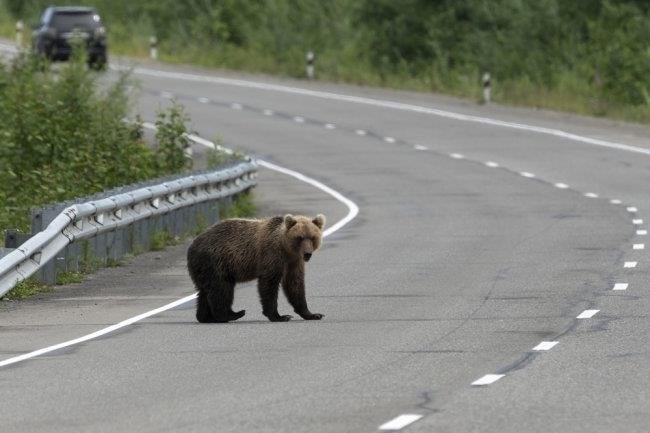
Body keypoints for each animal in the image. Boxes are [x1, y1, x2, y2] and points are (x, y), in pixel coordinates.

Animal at [186, 213, 326, 320]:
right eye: (300, 237)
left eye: (312, 237)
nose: (307, 253)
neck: (287, 249)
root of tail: (191, 246)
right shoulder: (272, 255)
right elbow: (269, 283)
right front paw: (279, 316)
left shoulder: (294, 262)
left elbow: (295, 285)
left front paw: (313, 314)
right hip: (215, 262)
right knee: (221, 289)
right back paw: (231, 315)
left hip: (205, 268)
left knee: (206, 291)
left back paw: (206, 317)